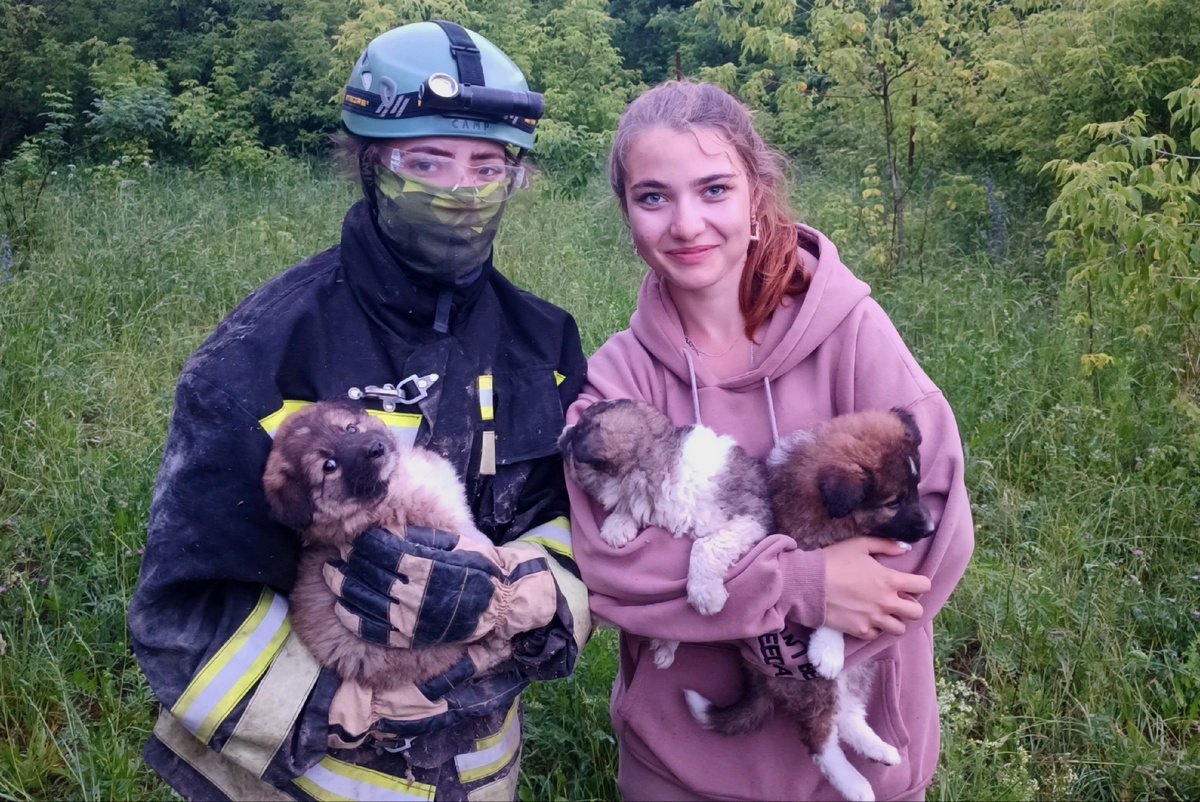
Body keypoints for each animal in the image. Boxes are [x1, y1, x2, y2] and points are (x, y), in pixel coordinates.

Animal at [556, 398, 772, 667]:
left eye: (574, 437)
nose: (563, 431)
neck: (657, 454)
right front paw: (618, 525)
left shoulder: (752, 518)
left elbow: (704, 546)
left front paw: (705, 595)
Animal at [691, 410, 931, 797]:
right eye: (893, 502)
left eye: (916, 489)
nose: (930, 528)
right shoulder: (810, 551)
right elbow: (828, 602)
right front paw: (828, 648)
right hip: (811, 684)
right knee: (819, 739)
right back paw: (855, 785)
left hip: (861, 667)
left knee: (846, 714)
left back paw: (878, 750)